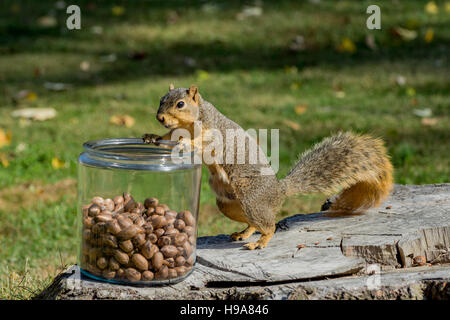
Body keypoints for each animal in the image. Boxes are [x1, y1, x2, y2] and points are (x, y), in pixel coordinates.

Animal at [144, 84, 394, 250]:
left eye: (180, 104)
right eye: (161, 99)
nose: (160, 117)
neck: (188, 124)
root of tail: (279, 191)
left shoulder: (214, 134)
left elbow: (203, 144)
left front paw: (185, 143)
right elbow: (167, 137)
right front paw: (152, 137)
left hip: (251, 199)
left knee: (269, 226)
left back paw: (260, 242)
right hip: (230, 205)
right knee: (254, 223)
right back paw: (244, 234)